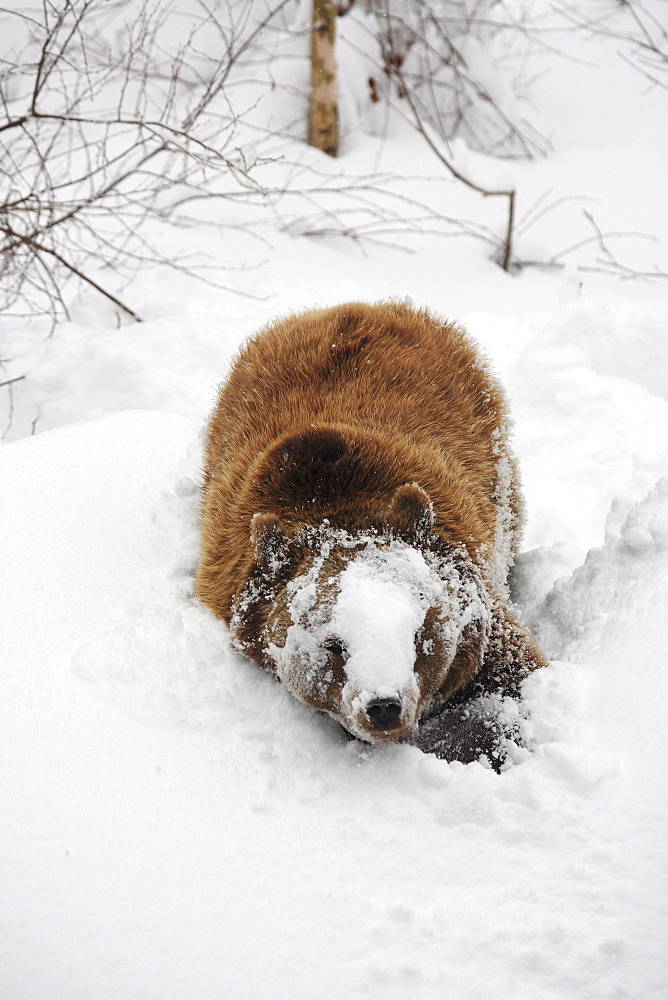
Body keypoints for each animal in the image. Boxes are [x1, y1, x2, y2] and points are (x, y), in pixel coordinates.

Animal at [196, 300, 544, 760]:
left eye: (418, 633)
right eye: (333, 644)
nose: (383, 705)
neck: (334, 506)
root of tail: (360, 306)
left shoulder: (473, 592)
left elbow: (508, 683)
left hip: (494, 463)